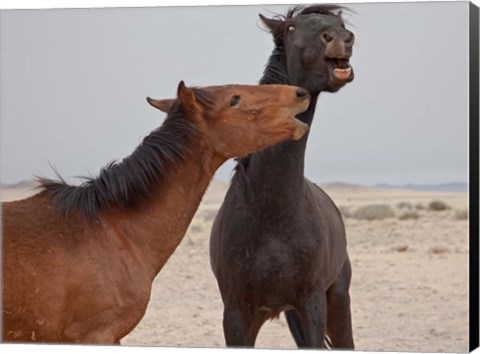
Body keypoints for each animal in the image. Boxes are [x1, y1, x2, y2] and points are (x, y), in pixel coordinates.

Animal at [210, 4, 356, 348]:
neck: (271, 213)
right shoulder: (237, 313)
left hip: (337, 300)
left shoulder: (312, 304)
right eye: (290, 28)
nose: (342, 39)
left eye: (340, 23)